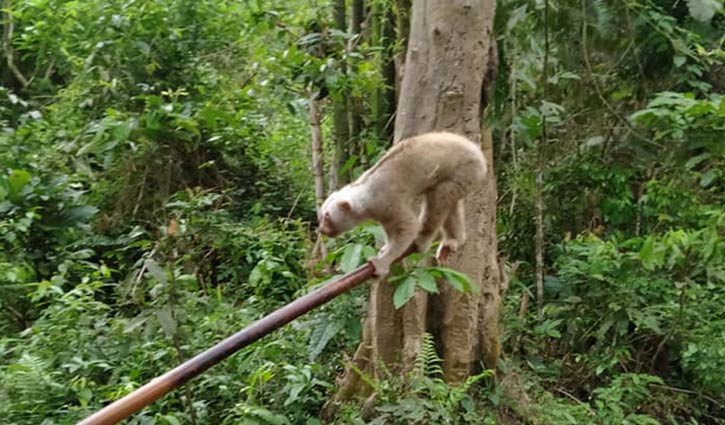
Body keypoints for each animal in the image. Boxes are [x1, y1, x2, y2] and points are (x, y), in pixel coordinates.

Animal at [316, 132, 486, 274]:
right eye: (321, 216)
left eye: (327, 217)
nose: (321, 230)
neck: (366, 195)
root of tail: (479, 153)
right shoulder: (381, 211)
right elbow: (390, 229)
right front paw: (385, 247)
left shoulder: (387, 201)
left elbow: (408, 226)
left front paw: (381, 262)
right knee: (449, 202)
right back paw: (451, 243)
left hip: (466, 169)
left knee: (439, 196)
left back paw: (423, 240)